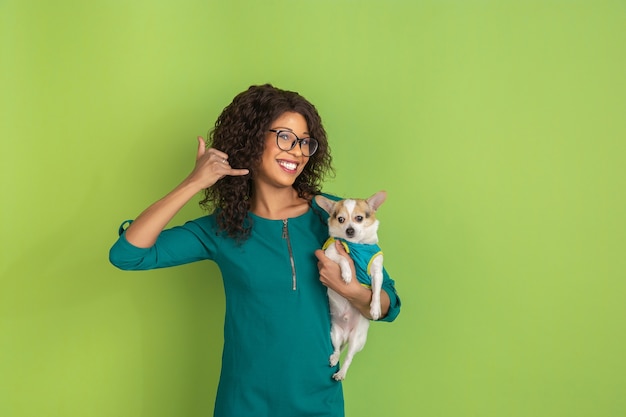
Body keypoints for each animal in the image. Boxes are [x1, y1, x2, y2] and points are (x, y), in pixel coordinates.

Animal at [316, 190, 386, 378]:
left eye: (359, 218)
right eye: (341, 219)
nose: (349, 229)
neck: (357, 246)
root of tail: (346, 337)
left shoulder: (377, 272)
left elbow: (377, 290)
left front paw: (375, 309)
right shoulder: (329, 255)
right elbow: (343, 259)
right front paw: (347, 273)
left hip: (357, 340)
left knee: (348, 358)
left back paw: (341, 373)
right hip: (334, 333)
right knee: (337, 350)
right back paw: (334, 358)